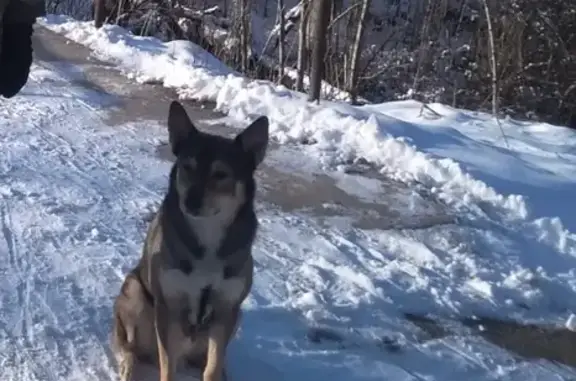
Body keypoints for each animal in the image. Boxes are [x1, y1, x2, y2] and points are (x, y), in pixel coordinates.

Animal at [112, 100, 270, 380]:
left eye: (220, 174)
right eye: (188, 167)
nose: (191, 201)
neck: (207, 238)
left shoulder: (226, 309)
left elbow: (213, 366)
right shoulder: (168, 308)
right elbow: (168, 367)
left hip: (236, 316)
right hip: (134, 293)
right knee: (130, 348)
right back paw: (128, 368)